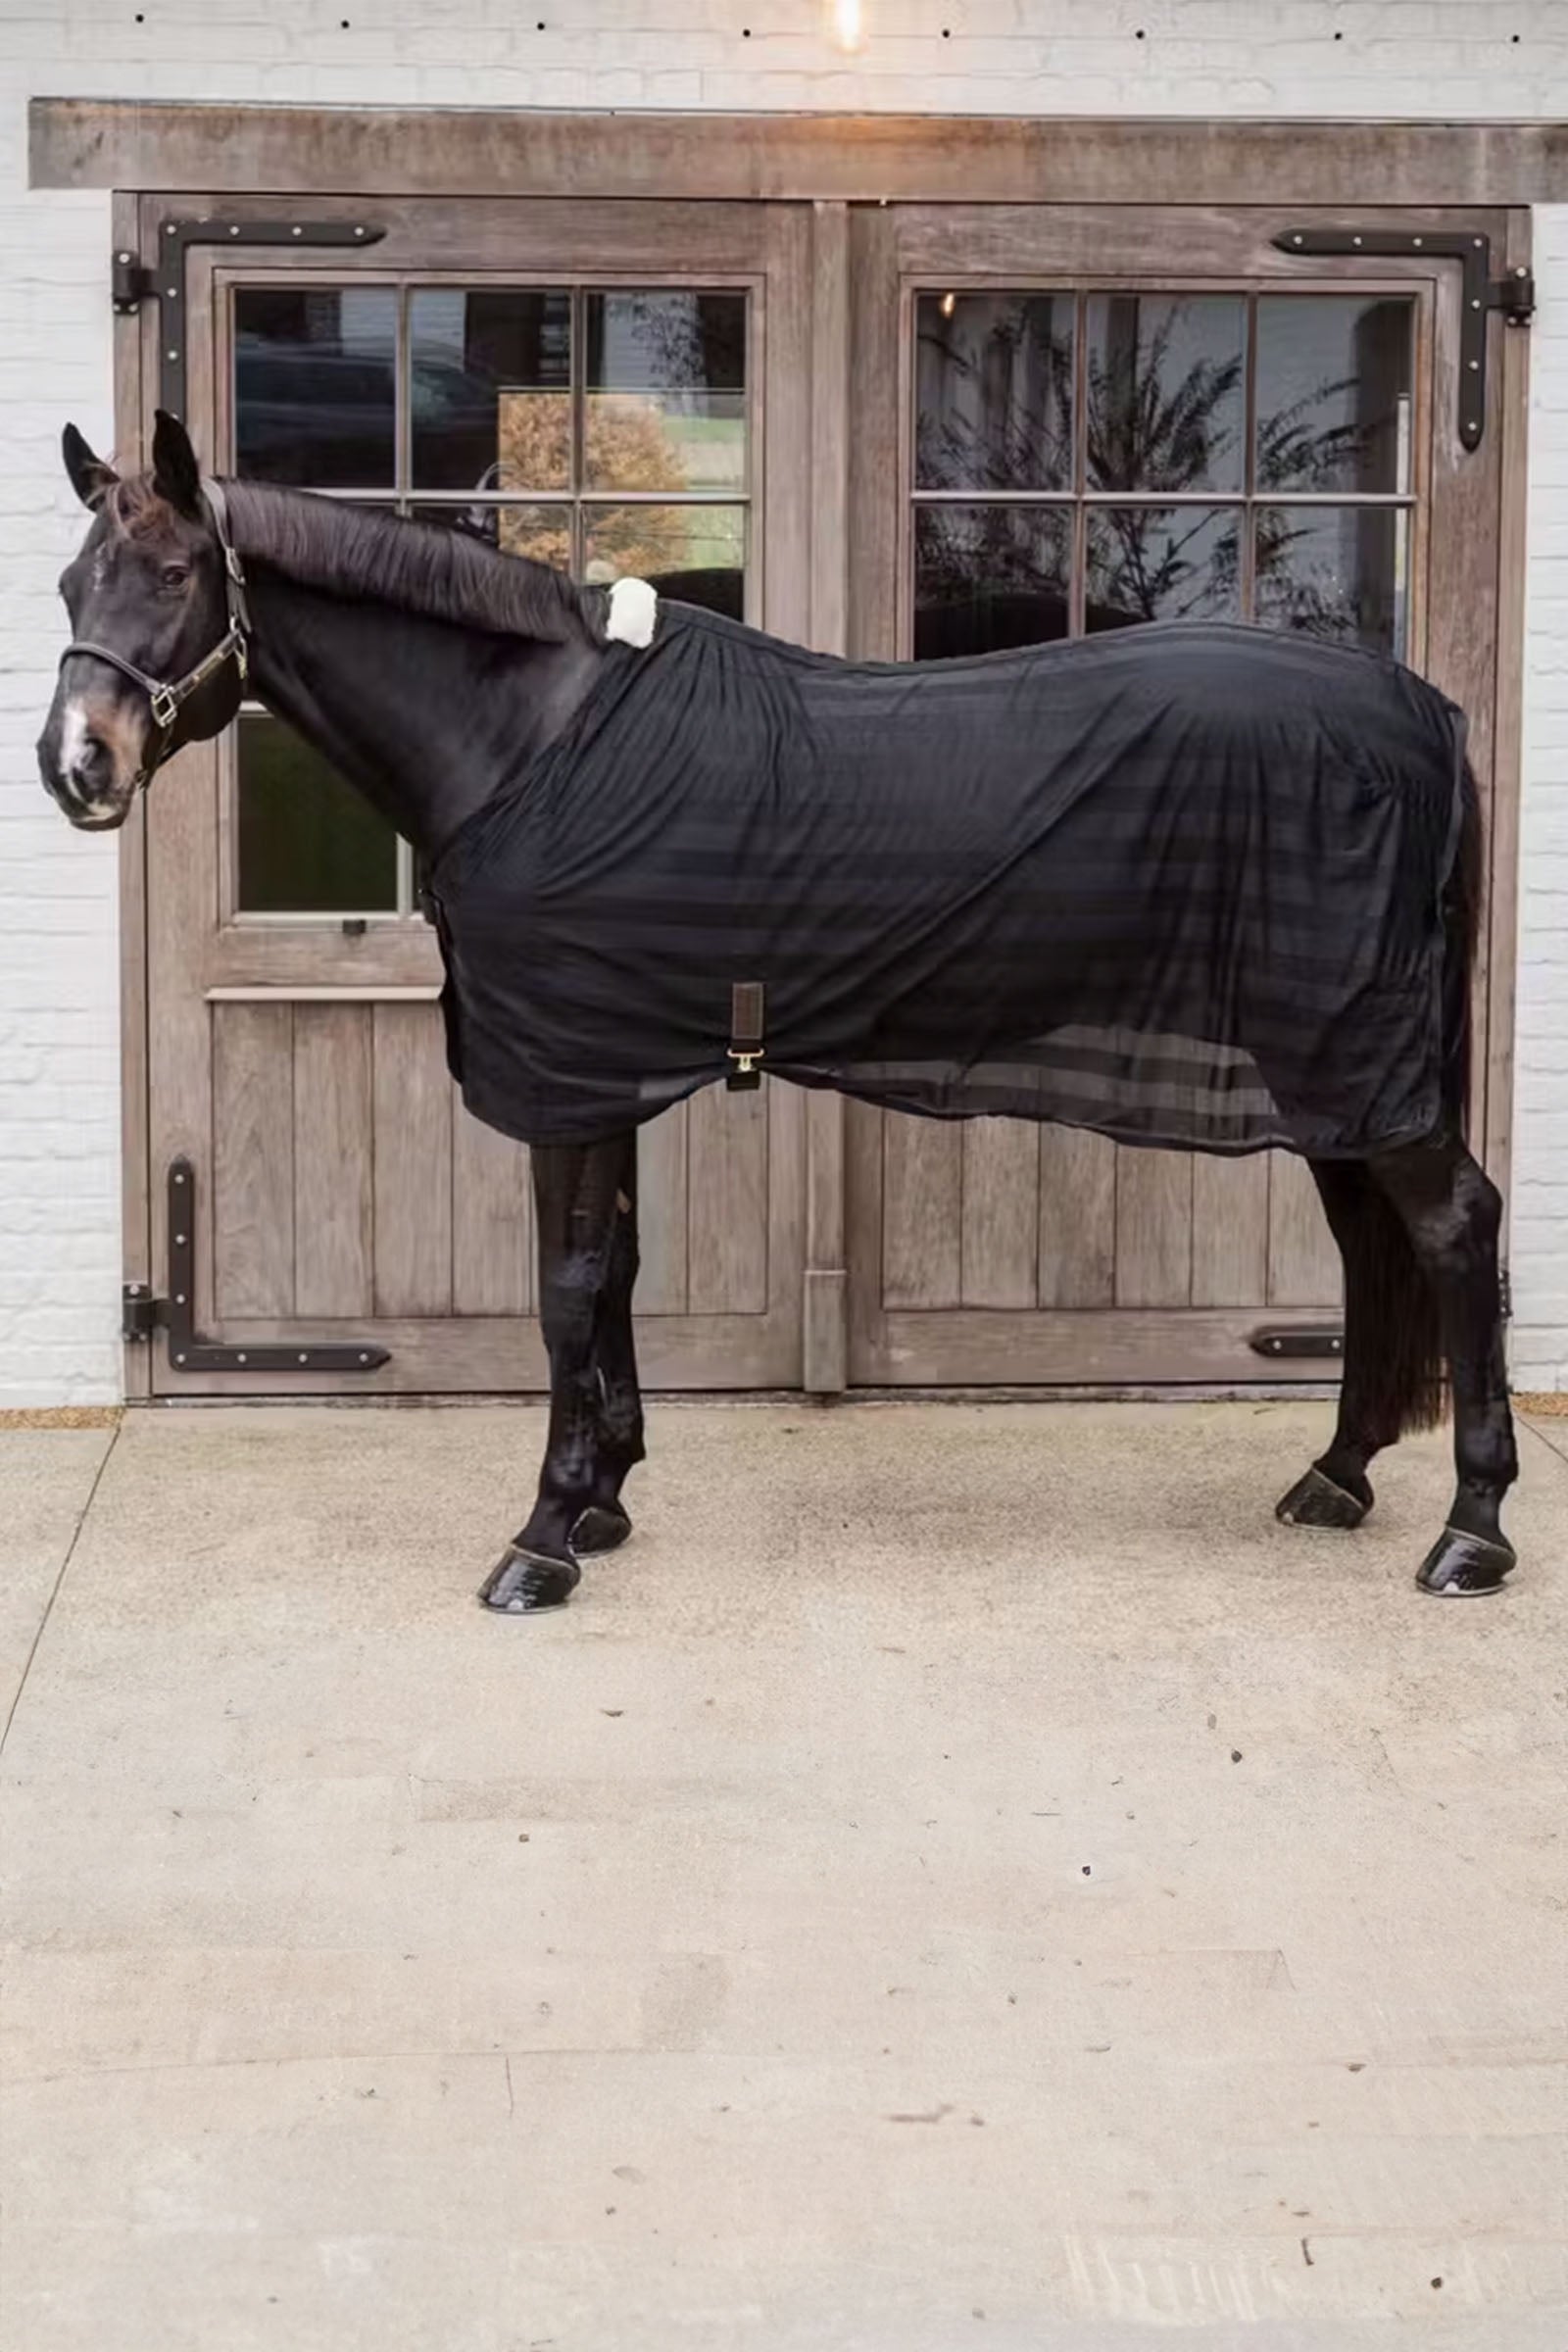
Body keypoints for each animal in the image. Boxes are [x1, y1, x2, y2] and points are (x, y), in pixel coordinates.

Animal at [37, 411, 1520, 1610]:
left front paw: (541, 1540)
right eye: (68, 581)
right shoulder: (602, 1068)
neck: (527, 743)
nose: (75, 767)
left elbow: (563, 1292)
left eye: (173, 575)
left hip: (1347, 1052)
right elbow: (616, 1272)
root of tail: (1419, 710)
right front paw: (607, 1496)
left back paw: (1471, 1530)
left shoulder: (564, 1074)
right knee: (1371, 1237)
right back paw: (1338, 1473)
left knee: (1453, 1226)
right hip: (1331, 1065)